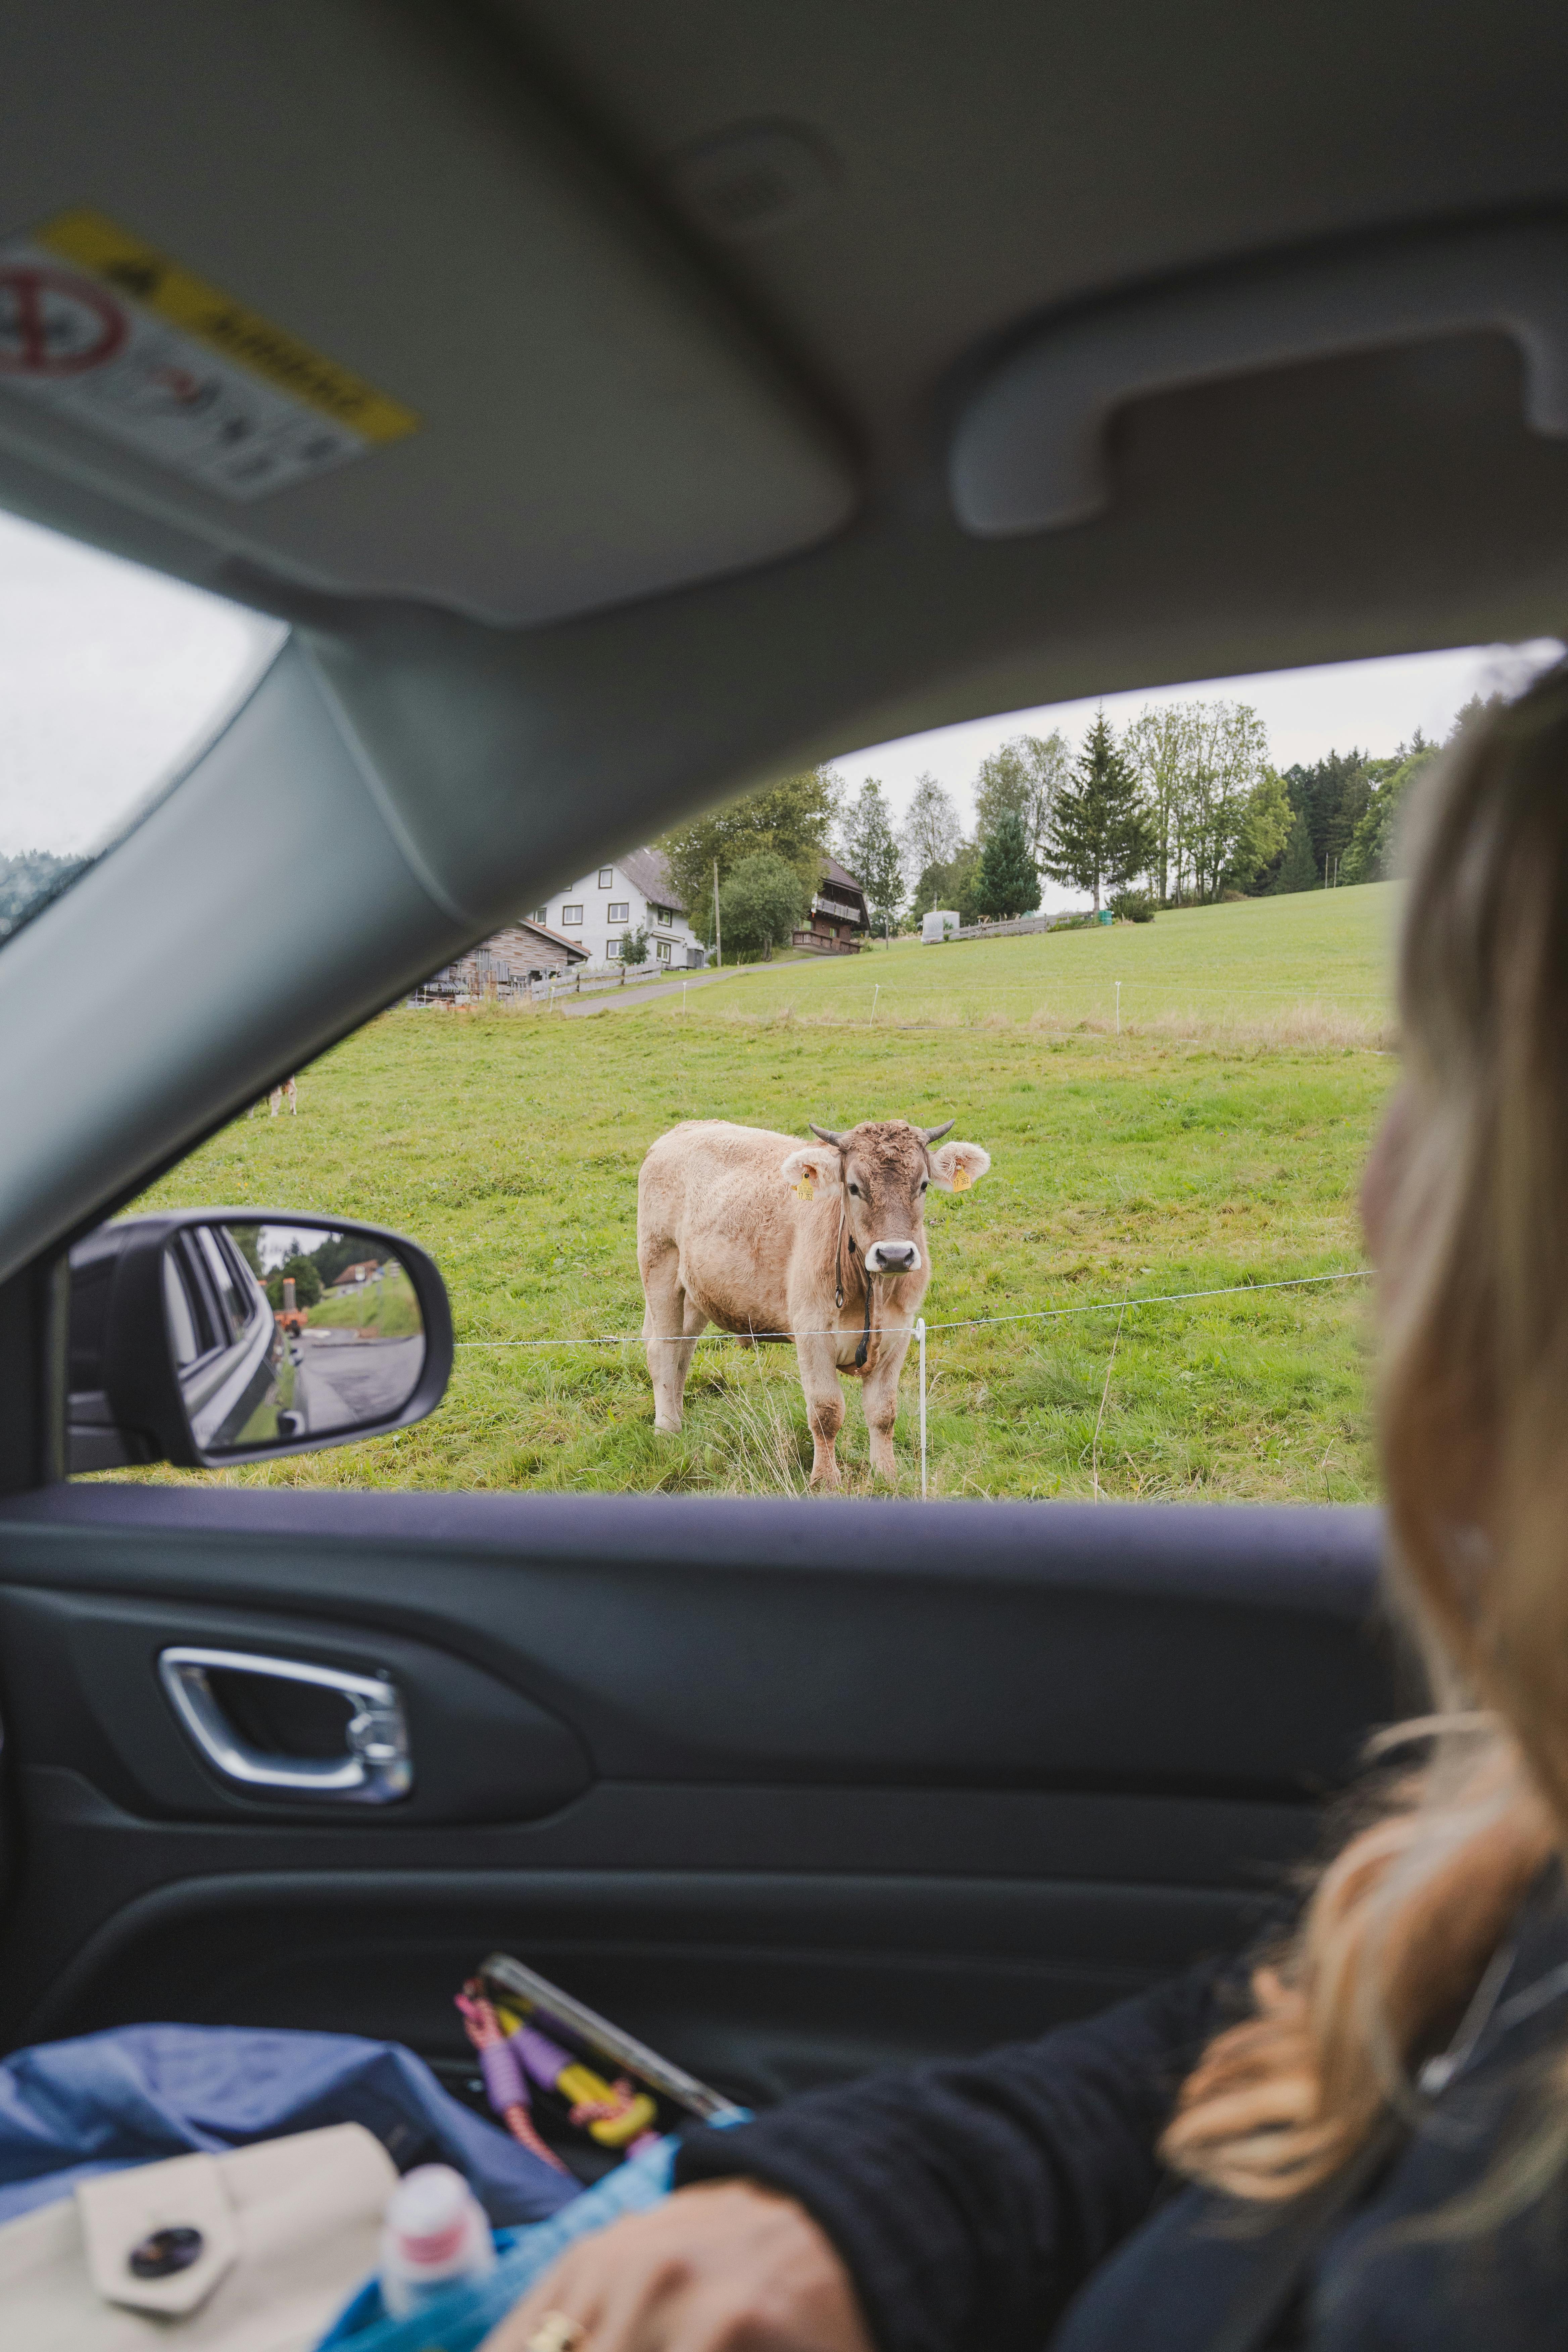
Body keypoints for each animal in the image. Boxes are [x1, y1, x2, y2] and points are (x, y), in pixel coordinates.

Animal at [639, 1110, 992, 1477]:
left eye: (922, 1185)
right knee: (662, 1349)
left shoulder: (899, 1332)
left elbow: (883, 1413)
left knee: (683, 1348)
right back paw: (667, 1429)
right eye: (853, 1187)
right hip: (659, 1264)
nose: (895, 1255)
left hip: (696, 1290)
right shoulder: (812, 1332)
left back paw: (679, 1418)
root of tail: (685, 1128)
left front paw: (886, 1475)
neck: (872, 1294)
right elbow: (826, 1412)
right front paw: (825, 1479)